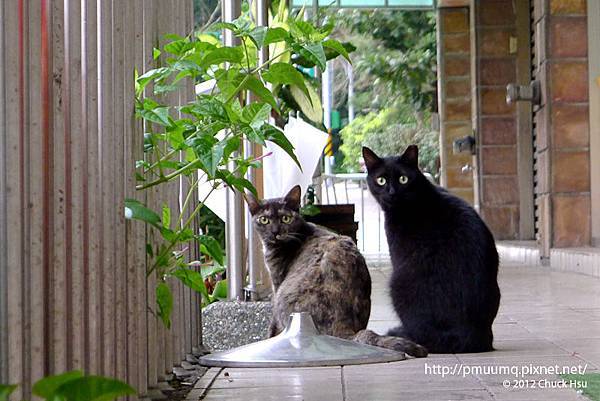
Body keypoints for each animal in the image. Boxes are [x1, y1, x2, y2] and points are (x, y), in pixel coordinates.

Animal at [246, 186, 428, 358]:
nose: (275, 232)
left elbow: (273, 326)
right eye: (264, 220)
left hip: (283, 299)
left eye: (286, 218)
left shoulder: (276, 285)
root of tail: (345, 329)